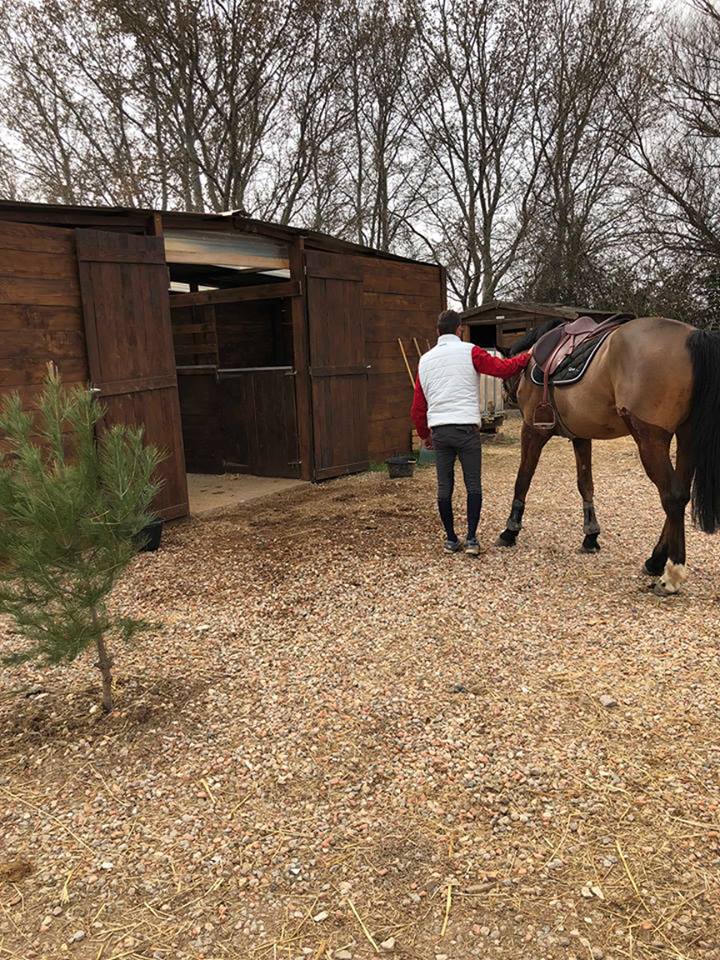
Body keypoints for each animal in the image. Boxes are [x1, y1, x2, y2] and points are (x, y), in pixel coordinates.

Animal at [498, 316, 720, 592]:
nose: (508, 397)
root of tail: (693, 335)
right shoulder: (581, 436)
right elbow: (585, 484)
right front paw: (590, 536)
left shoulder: (532, 430)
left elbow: (523, 480)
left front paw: (510, 530)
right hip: (687, 438)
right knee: (681, 494)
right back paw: (655, 561)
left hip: (651, 440)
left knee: (673, 496)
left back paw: (672, 574)